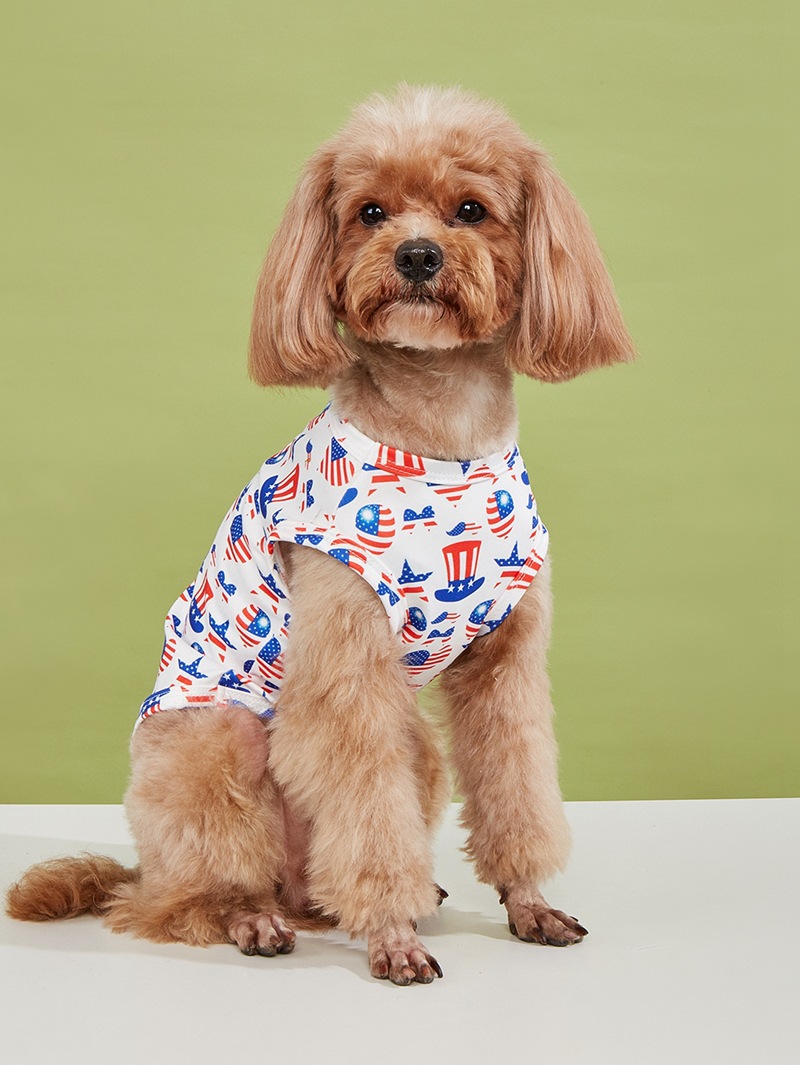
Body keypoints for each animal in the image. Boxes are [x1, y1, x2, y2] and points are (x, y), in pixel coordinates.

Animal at [7, 85, 634, 984]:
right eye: (369, 212)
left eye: (471, 210)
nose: (416, 256)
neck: (440, 433)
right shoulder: (347, 670)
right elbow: (367, 814)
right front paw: (392, 936)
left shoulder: (506, 662)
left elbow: (517, 785)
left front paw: (527, 902)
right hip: (213, 741)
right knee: (187, 896)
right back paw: (252, 916)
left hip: (416, 750)